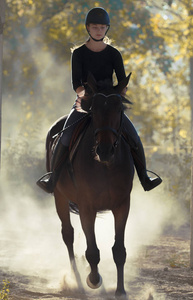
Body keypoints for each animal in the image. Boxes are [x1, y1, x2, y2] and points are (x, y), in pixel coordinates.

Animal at [47, 73, 134, 300]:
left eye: (119, 109)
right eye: (93, 110)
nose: (104, 151)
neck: (105, 166)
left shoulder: (122, 205)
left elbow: (119, 250)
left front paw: (121, 291)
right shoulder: (87, 207)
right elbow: (92, 251)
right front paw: (93, 280)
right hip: (59, 197)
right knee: (68, 234)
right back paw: (77, 280)